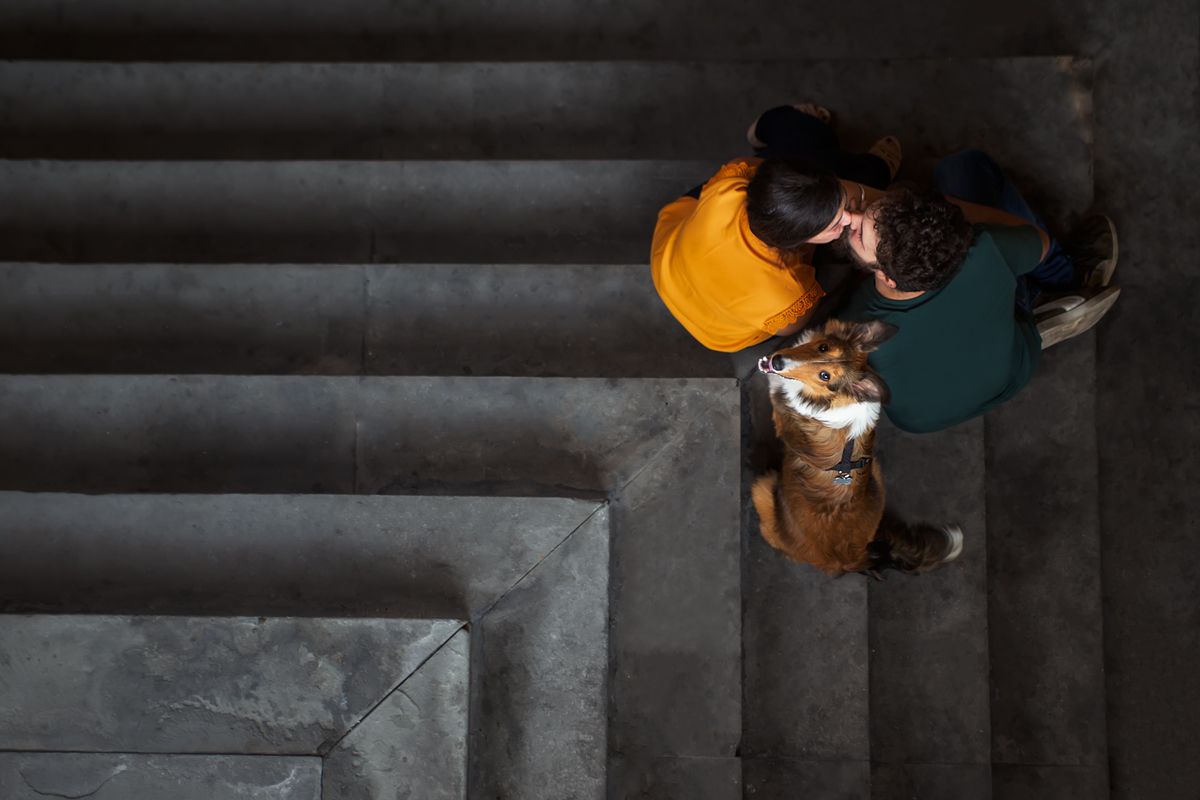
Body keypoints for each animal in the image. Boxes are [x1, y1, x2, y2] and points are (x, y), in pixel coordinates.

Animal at [748, 316, 964, 575]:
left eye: (825, 376)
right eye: (823, 347)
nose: (778, 362)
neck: (832, 399)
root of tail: (857, 559)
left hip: (763, 489)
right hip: (875, 471)